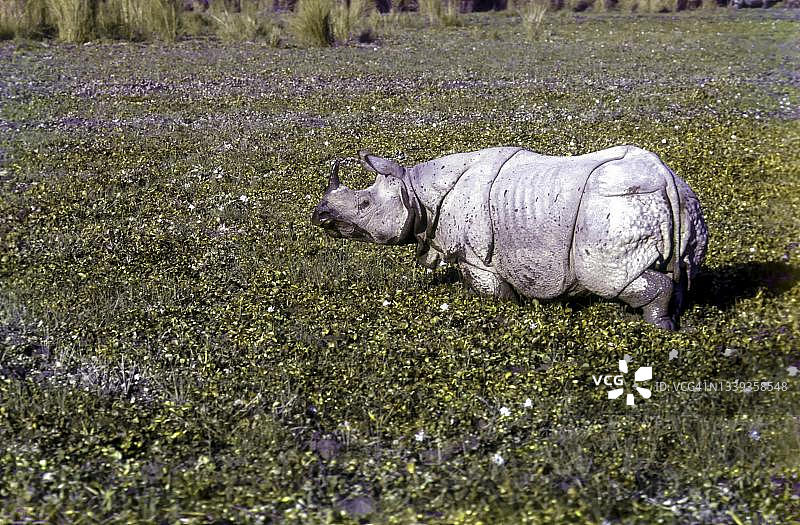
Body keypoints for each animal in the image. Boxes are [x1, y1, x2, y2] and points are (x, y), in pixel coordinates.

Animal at [311, 146, 708, 330]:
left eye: (363, 204)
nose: (320, 216)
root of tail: (667, 179)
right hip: (684, 204)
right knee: (680, 272)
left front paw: (511, 313)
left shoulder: (475, 256)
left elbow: (492, 291)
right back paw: (675, 323)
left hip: (614, 208)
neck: (415, 190)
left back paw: (656, 327)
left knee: (612, 278)